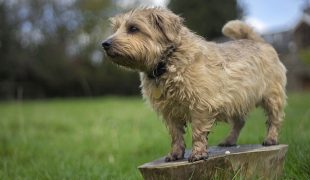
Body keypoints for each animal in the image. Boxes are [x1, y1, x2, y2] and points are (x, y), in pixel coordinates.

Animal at [101, 7, 286, 162]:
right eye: (115, 28)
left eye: (133, 28)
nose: (105, 44)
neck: (167, 63)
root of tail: (258, 41)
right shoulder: (169, 112)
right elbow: (175, 135)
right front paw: (175, 154)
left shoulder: (201, 105)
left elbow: (198, 132)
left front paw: (198, 153)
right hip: (236, 99)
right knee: (239, 122)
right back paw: (229, 140)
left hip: (271, 95)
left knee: (274, 118)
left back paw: (271, 138)